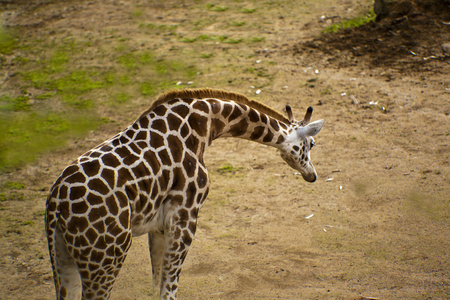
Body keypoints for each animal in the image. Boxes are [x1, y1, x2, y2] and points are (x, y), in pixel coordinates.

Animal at [44, 88, 324, 298]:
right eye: (311, 144)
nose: (312, 176)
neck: (204, 125)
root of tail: (56, 204)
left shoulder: (158, 223)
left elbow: (156, 283)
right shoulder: (186, 214)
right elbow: (169, 287)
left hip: (63, 256)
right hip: (106, 257)